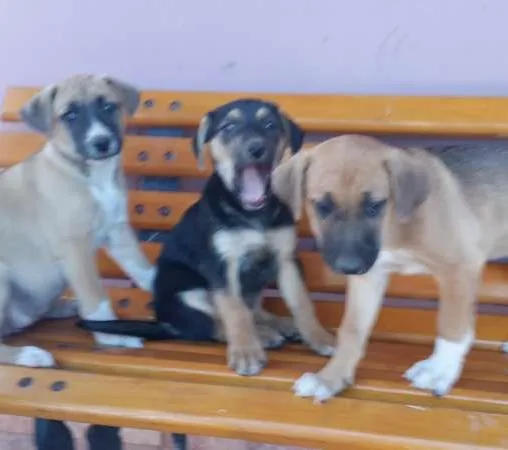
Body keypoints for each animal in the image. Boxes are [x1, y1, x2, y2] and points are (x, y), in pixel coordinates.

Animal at [0, 74, 156, 367]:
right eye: (69, 115)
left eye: (108, 106)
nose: (101, 142)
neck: (92, 176)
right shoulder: (75, 248)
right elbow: (97, 298)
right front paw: (113, 337)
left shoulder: (117, 231)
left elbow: (143, 269)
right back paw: (31, 354)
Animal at [78, 98, 335, 376]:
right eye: (229, 127)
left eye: (269, 125)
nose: (256, 148)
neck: (252, 214)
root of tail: (165, 321)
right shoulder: (222, 266)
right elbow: (234, 311)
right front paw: (246, 353)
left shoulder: (287, 259)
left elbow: (302, 302)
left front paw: (319, 337)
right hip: (186, 290)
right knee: (212, 325)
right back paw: (262, 335)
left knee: (251, 309)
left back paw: (278, 325)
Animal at [271, 134, 508, 402]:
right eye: (322, 206)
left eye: (374, 206)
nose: (348, 266)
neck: (394, 227)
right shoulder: (369, 277)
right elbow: (352, 330)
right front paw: (330, 378)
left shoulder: (459, 267)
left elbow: (452, 327)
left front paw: (439, 370)